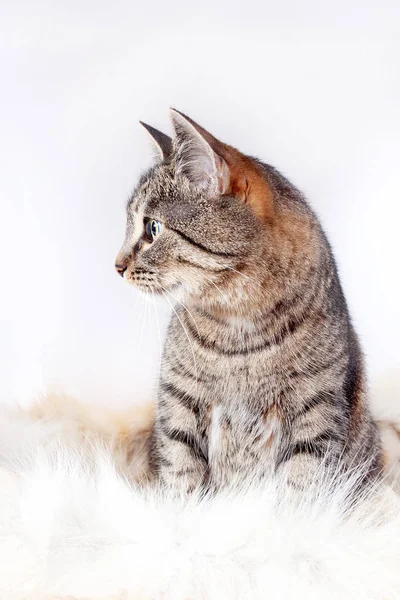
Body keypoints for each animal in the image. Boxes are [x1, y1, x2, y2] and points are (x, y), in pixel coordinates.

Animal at [114, 110, 382, 494]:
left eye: (152, 228)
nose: (117, 266)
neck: (238, 328)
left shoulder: (317, 409)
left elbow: (300, 486)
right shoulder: (179, 399)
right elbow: (181, 473)